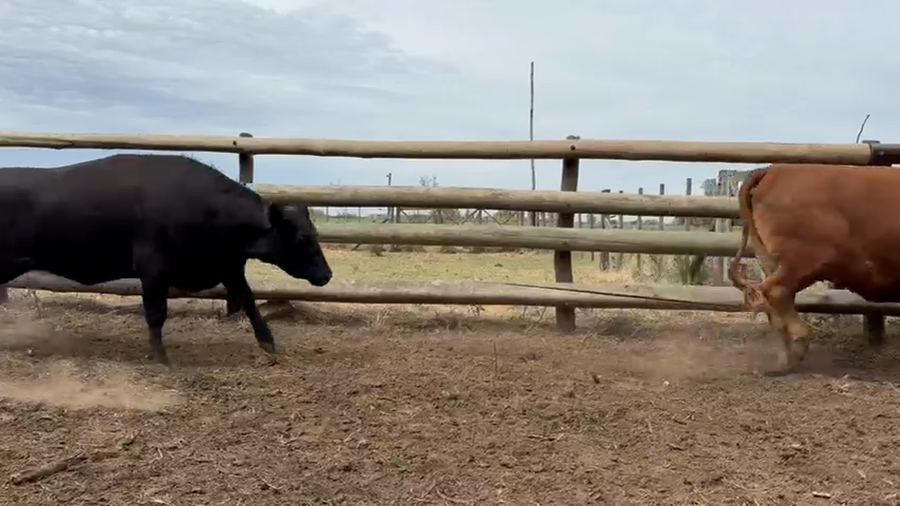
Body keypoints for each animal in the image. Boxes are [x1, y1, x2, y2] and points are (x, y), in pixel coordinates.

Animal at [0, 153, 333, 366]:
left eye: (313, 231)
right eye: (301, 238)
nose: (327, 274)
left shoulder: (227, 266)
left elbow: (250, 302)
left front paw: (268, 343)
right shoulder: (153, 271)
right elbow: (156, 314)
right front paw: (160, 358)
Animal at [729, 162, 900, 374]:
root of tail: (773, 169)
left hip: (772, 261)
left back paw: (785, 360)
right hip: (803, 261)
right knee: (776, 291)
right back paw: (799, 344)